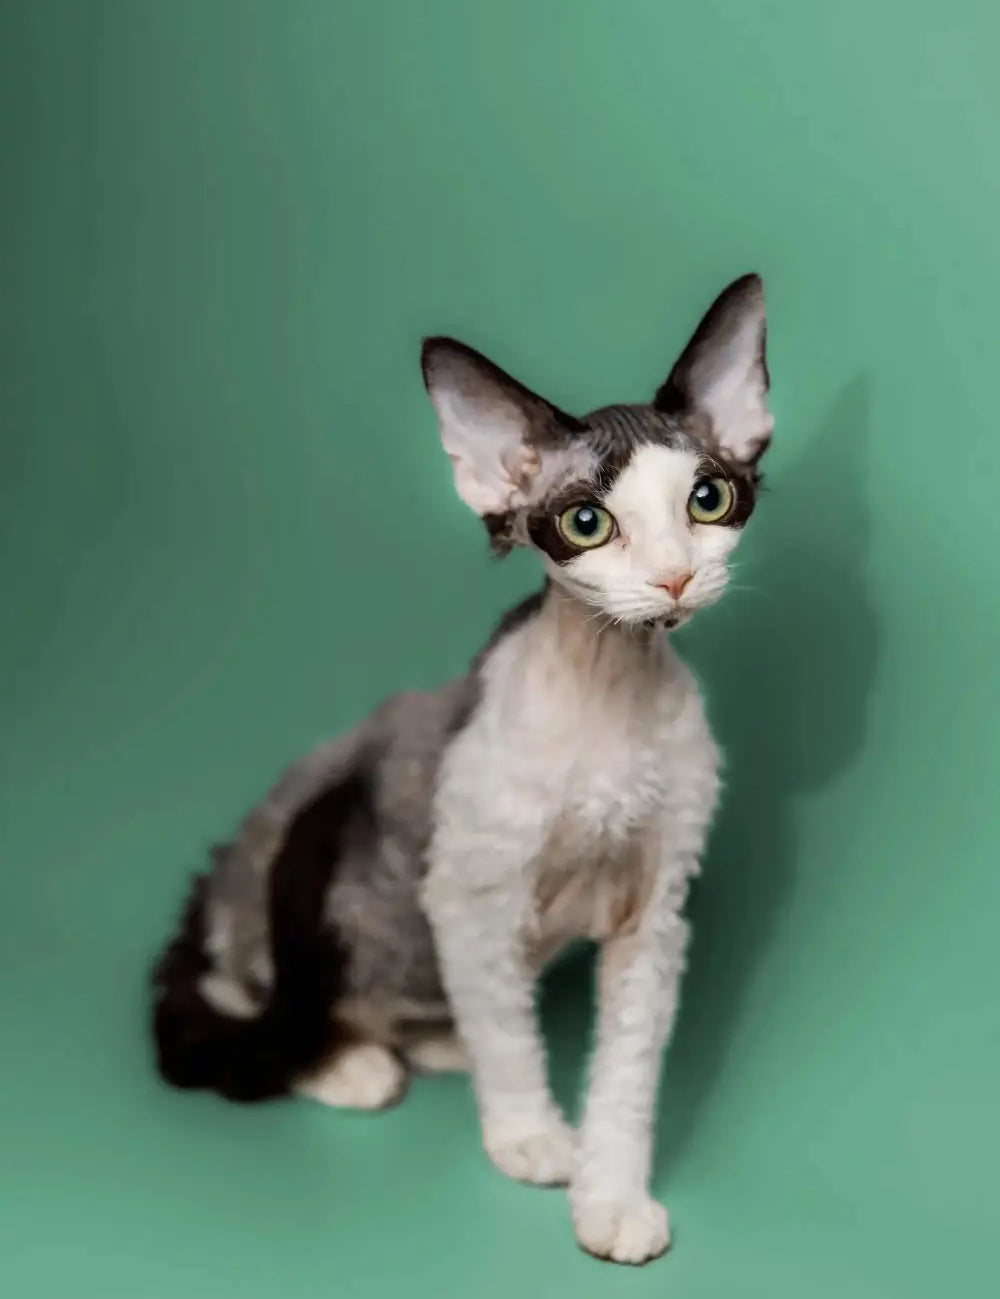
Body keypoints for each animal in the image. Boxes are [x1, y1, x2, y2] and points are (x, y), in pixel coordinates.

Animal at [151, 276, 768, 1267]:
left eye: (709, 499)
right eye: (587, 522)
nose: (674, 580)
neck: (610, 693)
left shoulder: (654, 910)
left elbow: (627, 1073)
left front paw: (611, 1195)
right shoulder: (474, 884)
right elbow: (513, 1041)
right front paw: (531, 1136)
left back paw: (438, 1038)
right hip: (307, 857)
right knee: (249, 989)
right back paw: (349, 1061)